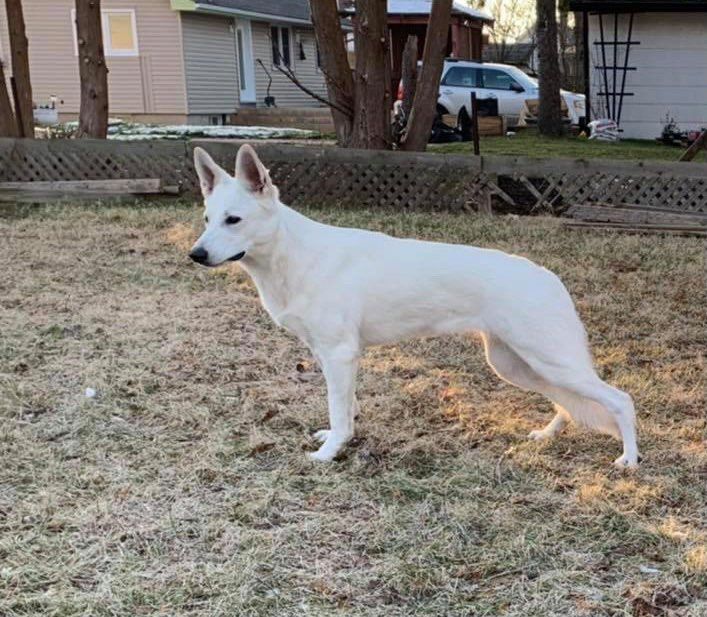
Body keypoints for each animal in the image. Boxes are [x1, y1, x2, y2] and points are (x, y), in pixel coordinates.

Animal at [191, 144, 640, 466]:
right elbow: (346, 408)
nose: (195, 255)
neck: (293, 255)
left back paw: (629, 460)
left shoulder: (339, 354)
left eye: (233, 220)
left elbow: (339, 412)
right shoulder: (329, 356)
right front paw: (339, 440)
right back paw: (548, 435)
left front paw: (330, 453)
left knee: (620, 400)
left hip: (547, 361)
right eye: (208, 219)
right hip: (517, 365)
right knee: (567, 402)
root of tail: (547, 275)